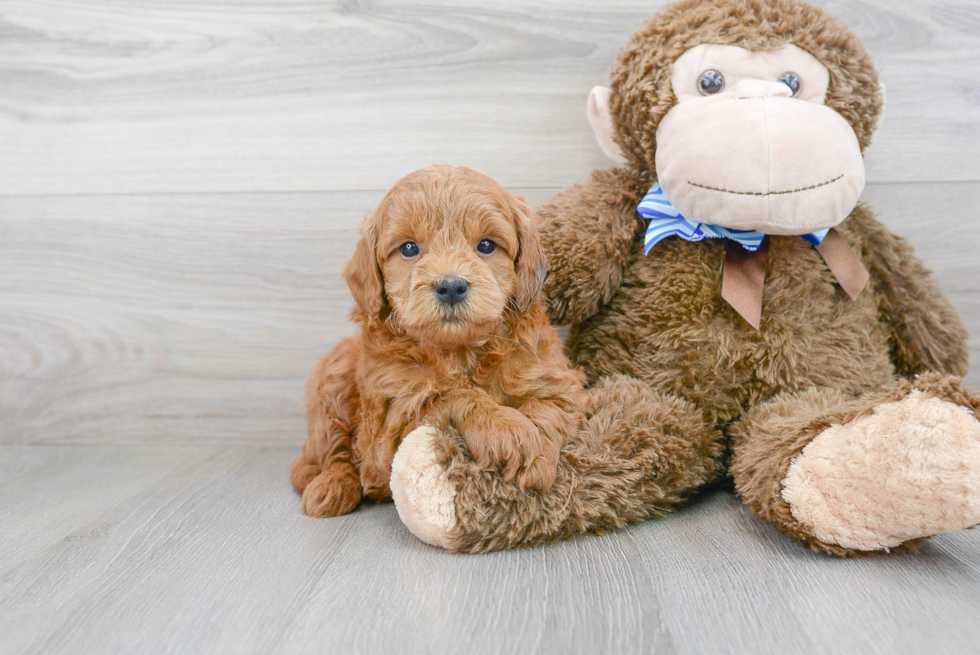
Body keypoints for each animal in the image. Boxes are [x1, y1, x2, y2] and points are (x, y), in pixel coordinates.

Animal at [288, 164, 584, 516]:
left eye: (486, 245)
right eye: (409, 248)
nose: (451, 286)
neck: (459, 352)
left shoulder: (558, 383)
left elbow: (549, 409)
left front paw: (535, 452)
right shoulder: (386, 435)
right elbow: (452, 395)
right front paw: (508, 430)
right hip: (334, 375)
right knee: (328, 451)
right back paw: (331, 486)